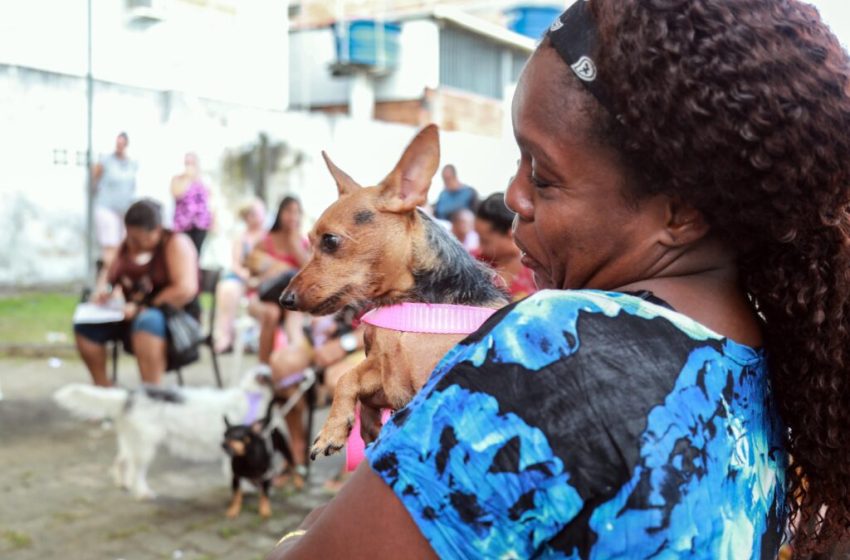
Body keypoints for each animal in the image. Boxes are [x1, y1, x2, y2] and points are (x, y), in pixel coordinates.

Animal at [54, 372, 272, 498]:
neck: (251, 396)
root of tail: (128, 396)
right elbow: (235, 473)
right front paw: (247, 489)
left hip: (130, 442)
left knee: (121, 462)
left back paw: (123, 483)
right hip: (145, 447)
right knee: (137, 472)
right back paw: (143, 493)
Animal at [278, 126, 506, 460]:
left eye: (330, 241)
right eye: (308, 239)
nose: (285, 299)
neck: (409, 307)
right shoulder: (385, 377)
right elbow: (347, 378)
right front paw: (335, 428)